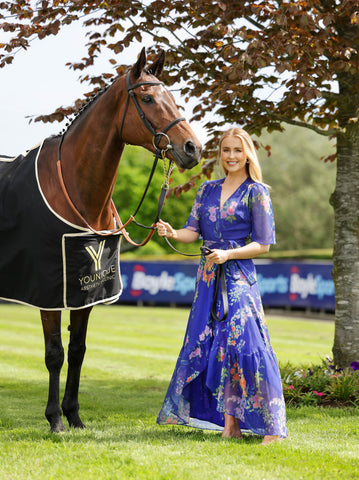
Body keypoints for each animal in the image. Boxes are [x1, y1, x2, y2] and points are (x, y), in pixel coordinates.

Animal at [4, 47, 202, 432]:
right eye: (148, 98)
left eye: (174, 98)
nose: (192, 148)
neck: (72, 186)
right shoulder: (49, 292)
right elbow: (55, 354)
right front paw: (55, 419)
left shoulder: (86, 290)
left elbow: (78, 351)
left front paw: (74, 415)